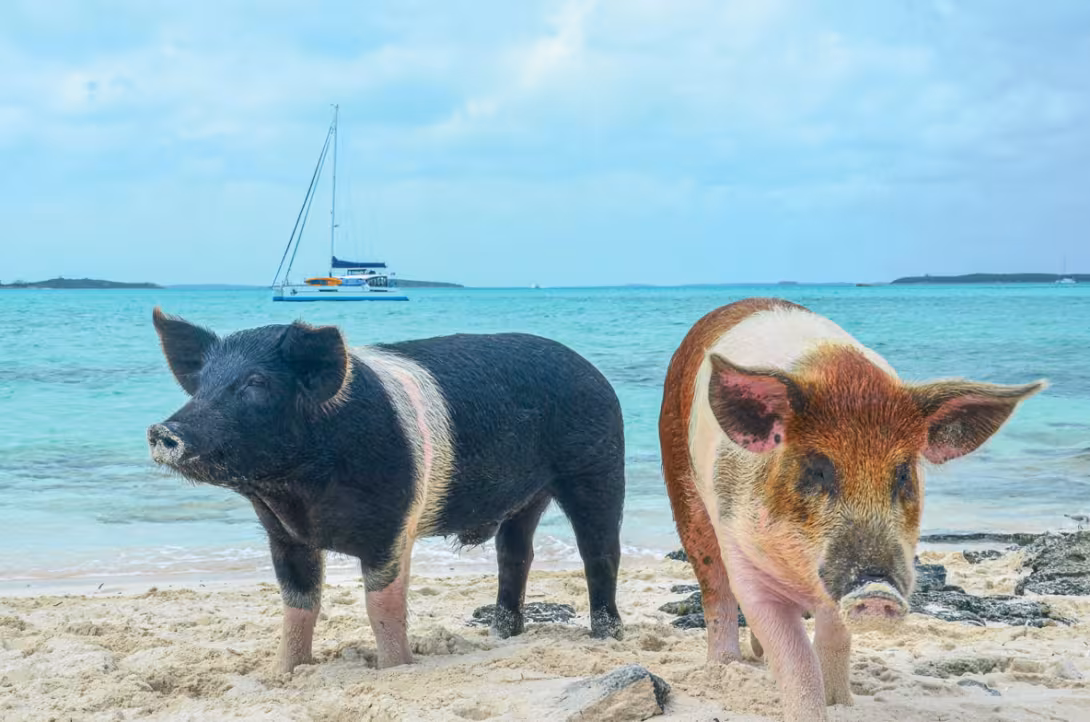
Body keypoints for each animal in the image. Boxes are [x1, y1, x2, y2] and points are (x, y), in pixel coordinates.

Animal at [146, 308, 625, 673]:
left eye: (256, 383)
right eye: (203, 383)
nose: (162, 430)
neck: (301, 494)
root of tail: (593, 370)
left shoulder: (393, 524)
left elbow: (382, 606)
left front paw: (396, 669)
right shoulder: (283, 535)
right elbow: (297, 606)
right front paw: (284, 671)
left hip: (598, 464)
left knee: (600, 553)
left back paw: (608, 637)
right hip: (526, 497)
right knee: (515, 555)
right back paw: (501, 633)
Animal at [658, 298, 1045, 721]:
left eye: (903, 473)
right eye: (817, 469)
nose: (877, 590)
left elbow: (834, 640)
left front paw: (840, 702)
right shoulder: (743, 557)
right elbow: (794, 656)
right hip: (682, 487)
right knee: (714, 589)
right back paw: (725, 666)